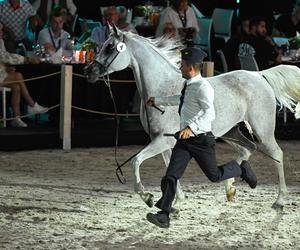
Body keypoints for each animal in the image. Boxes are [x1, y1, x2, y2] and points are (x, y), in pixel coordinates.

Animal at [84, 25, 300, 209]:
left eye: (110, 47)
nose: (89, 71)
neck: (162, 87)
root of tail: (259, 75)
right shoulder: (163, 142)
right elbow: (169, 169)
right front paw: (176, 201)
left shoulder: (162, 140)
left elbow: (136, 161)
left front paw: (147, 197)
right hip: (230, 132)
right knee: (247, 149)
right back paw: (230, 189)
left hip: (262, 130)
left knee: (276, 154)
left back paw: (279, 200)